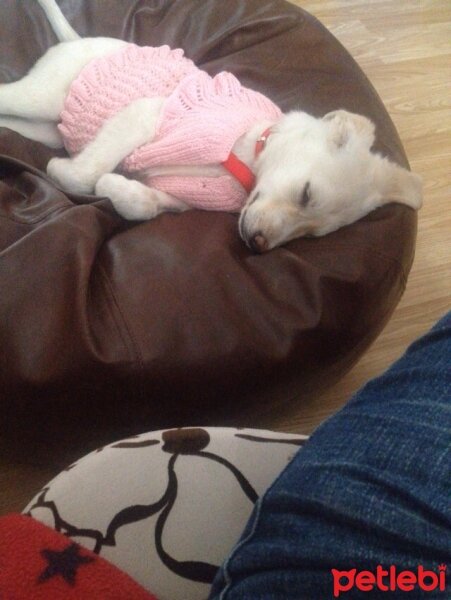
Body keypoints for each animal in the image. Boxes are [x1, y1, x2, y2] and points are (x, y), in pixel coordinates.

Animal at [0, 0, 424, 252]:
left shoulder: (178, 196)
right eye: (306, 194)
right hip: (44, 95)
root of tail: (79, 39)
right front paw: (64, 172)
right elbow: (83, 173)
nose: (258, 244)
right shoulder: (147, 113)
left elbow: (144, 204)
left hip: (44, 126)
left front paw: (116, 188)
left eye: (310, 234)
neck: (246, 156)